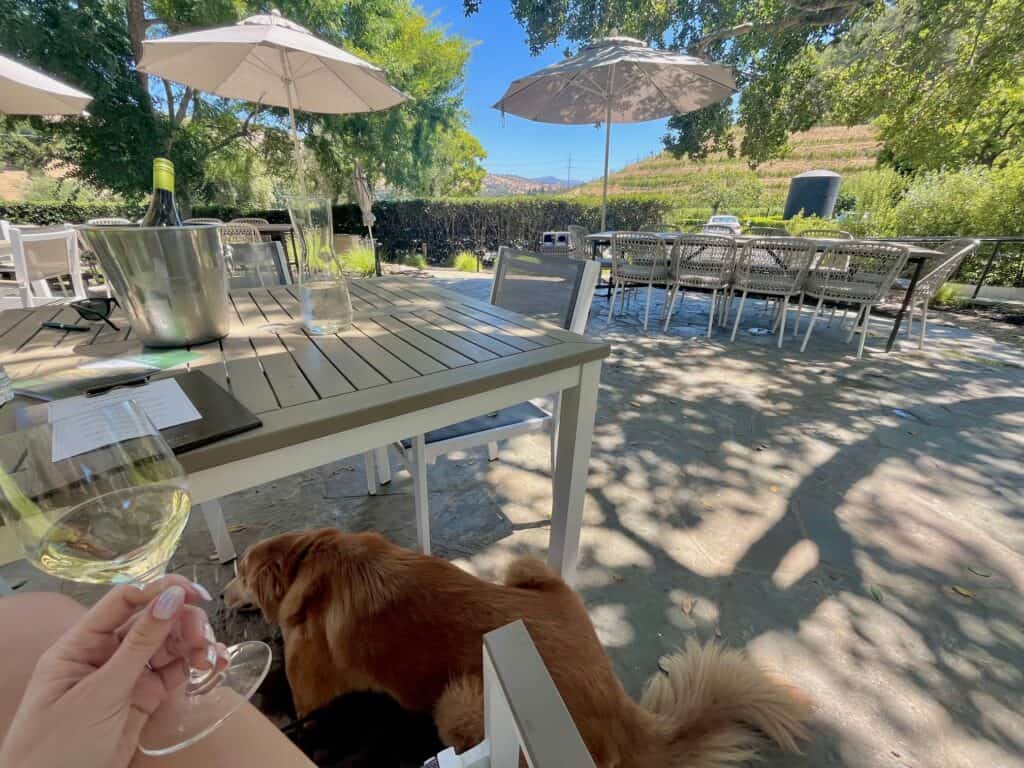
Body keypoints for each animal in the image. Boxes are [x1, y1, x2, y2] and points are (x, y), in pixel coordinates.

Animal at [224, 528, 806, 768]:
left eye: (240, 573)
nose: (223, 596)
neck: (308, 557)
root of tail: (620, 710)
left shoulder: (312, 702)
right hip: (525, 568)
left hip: (458, 702)